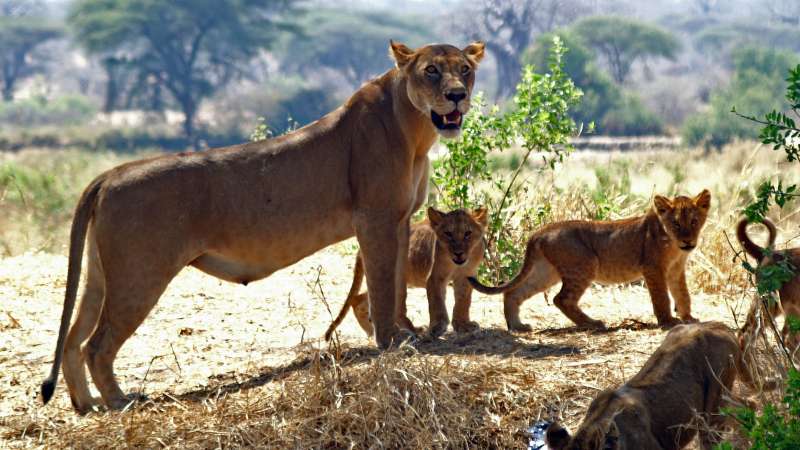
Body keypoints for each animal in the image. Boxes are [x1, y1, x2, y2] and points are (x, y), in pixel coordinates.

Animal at [324, 207, 488, 341]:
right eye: (448, 233)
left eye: (468, 233)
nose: (458, 253)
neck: (457, 264)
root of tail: (360, 250)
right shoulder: (435, 278)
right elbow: (436, 303)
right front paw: (437, 327)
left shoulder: (466, 276)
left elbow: (463, 301)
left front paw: (463, 325)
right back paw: (412, 331)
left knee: (359, 299)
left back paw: (372, 331)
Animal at [469, 190, 711, 331]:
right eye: (676, 224)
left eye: (694, 221)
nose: (688, 241)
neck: (675, 248)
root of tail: (541, 231)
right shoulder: (653, 268)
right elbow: (661, 297)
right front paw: (668, 321)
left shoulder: (675, 270)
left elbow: (683, 293)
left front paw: (689, 317)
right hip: (584, 265)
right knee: (561, 299)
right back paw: (592, 323)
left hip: (547, 272)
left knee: (514, 292)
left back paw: (517, 326)